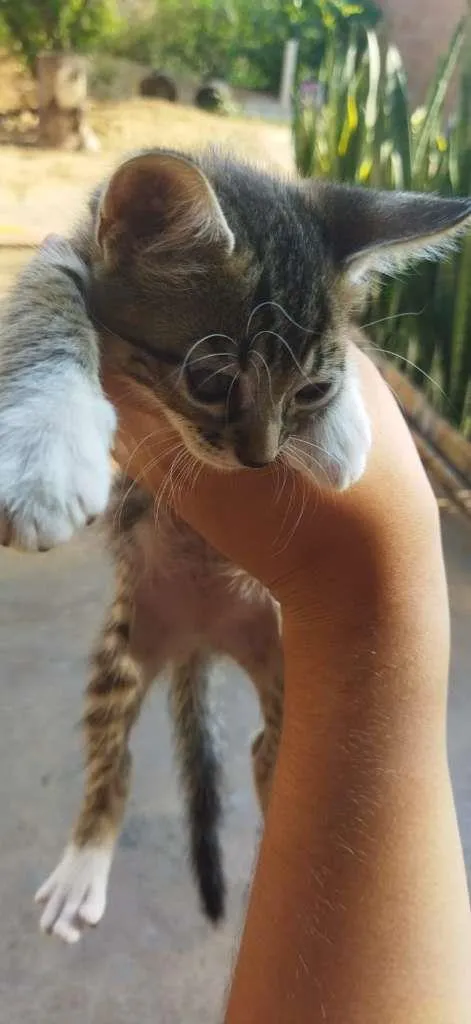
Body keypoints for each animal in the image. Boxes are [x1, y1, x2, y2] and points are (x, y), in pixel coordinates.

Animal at [1, 149, 468, 942]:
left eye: (309, 391)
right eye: (212, 379)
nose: (260, 458)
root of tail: (202, 635)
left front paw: (345, 432)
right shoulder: (69, 255)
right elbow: (43, 294)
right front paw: (44, 449)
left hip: (286, 671)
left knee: (269, 754)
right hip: (122, 650)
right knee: (113, 762)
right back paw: (85, 861)